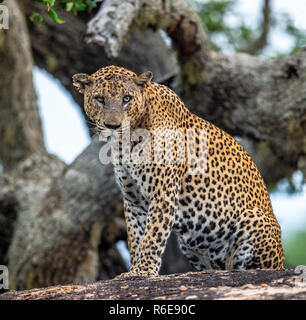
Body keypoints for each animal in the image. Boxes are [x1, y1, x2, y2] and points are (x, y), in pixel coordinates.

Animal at [73, 65, 284, 278]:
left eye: (126, 98)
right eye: (100, 99)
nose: (113, 126)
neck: (126, 142)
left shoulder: (163, 194)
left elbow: (152, 237)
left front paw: (143, 270)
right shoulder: (133, 200)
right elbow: (136, 238)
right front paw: (134, 269)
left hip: (252, 220)